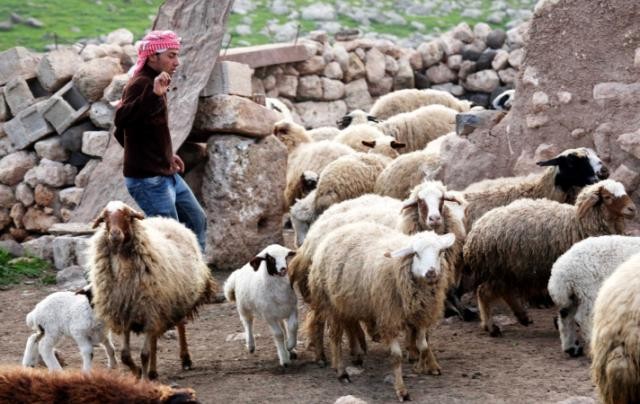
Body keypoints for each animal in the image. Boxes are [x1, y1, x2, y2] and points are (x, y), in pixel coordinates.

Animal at [87, 200, 218, 380]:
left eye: (127, 216)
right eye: (105, 218)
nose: (114, 234)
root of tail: (167, 220)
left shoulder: (149, 310)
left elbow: (144, 354)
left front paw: (142, 377)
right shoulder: (126, 312)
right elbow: (125, 355)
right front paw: (137, 372)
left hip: (174, 299)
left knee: (180, 326)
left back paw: (185, 359)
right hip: (158, 306)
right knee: (155, 338)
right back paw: (153, 371)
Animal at [308, 221, 456, 400]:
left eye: (440, 252)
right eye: (416, 254)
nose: (431, 272)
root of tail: (336, 232)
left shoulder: (420, 315)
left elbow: (423, 344)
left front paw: (426, 366)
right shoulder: (389, 318)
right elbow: (396, 357)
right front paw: (401, 390)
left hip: (348, 303)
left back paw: (345, 361)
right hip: (331, 303)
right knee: (335, 336)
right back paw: (342, 373)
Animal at [462, 181, 636, 336]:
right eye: (607, 197)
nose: (633, 209)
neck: (578, 225)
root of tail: (476, 231)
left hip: (510, 271)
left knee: (504, 291)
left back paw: (522, 317)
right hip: (497, 268)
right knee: (484, 292)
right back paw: (491, 327)